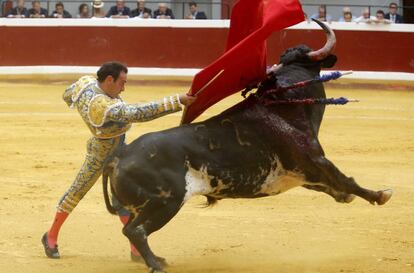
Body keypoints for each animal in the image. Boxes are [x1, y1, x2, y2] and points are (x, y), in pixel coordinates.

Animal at [101, 20, 392, 270]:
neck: (284, 103)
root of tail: (119, 157)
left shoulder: (304, 174)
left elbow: (332, 185)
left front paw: (348, 196)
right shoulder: (315, 160)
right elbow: (345, 179)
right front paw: (380, 194)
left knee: (131, 229)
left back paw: (156, 259)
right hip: (166, 201)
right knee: (135, 230)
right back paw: (156, 264)